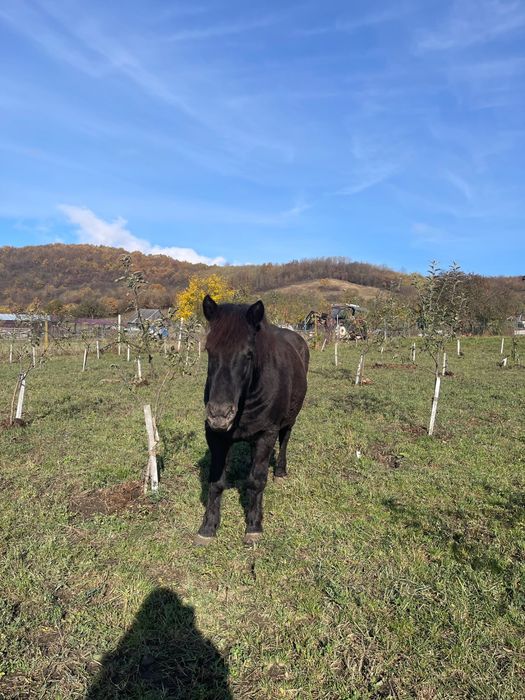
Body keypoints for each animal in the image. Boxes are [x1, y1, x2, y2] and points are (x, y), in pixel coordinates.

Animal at [195, 295, 309, 545]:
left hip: (288, 421)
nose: (219, 414)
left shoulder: (267, 434)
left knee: (285, 440)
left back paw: (280, 472)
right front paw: (208, 527)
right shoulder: (216, 437)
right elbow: (216, 482)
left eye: (248, 354)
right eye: (209, 350)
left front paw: (253, 526)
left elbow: (257, 481)